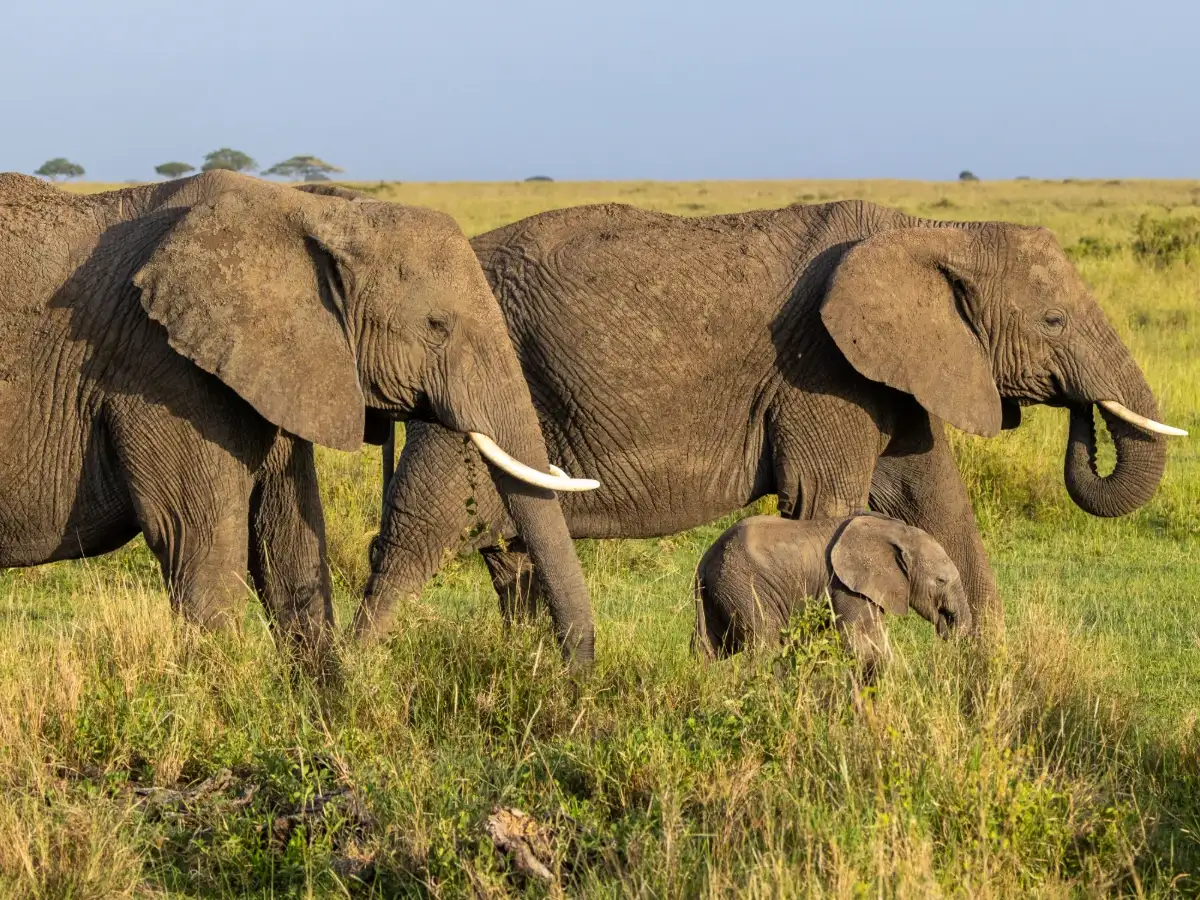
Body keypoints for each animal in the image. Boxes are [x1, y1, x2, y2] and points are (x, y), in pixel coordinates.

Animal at [0, 171, 599, 670]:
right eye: (436, 326)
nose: (570, 677)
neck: (309, 211)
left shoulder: (280, 366)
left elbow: (288, 534)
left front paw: (327, 718)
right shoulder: (161, 372)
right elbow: (199, 542)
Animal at [361, 197, 1186, 651]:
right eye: (1052, 322)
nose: (1082, 417)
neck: (932, 231)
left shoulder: (893, 372)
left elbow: (936, 501)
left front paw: (990, 691)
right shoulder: (821, 369)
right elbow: (829, 508)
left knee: (512, 558)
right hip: (461, 390)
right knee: (417, 535)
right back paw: (357, 691)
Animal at [694, 512, 971, 679]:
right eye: (941, 581)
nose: (949, 629)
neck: (895, 530)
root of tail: (705, 562)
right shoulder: (845, 585)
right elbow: (862, 641)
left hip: (718, 593)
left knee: (707, 649)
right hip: (746, 587)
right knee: (766, 644)